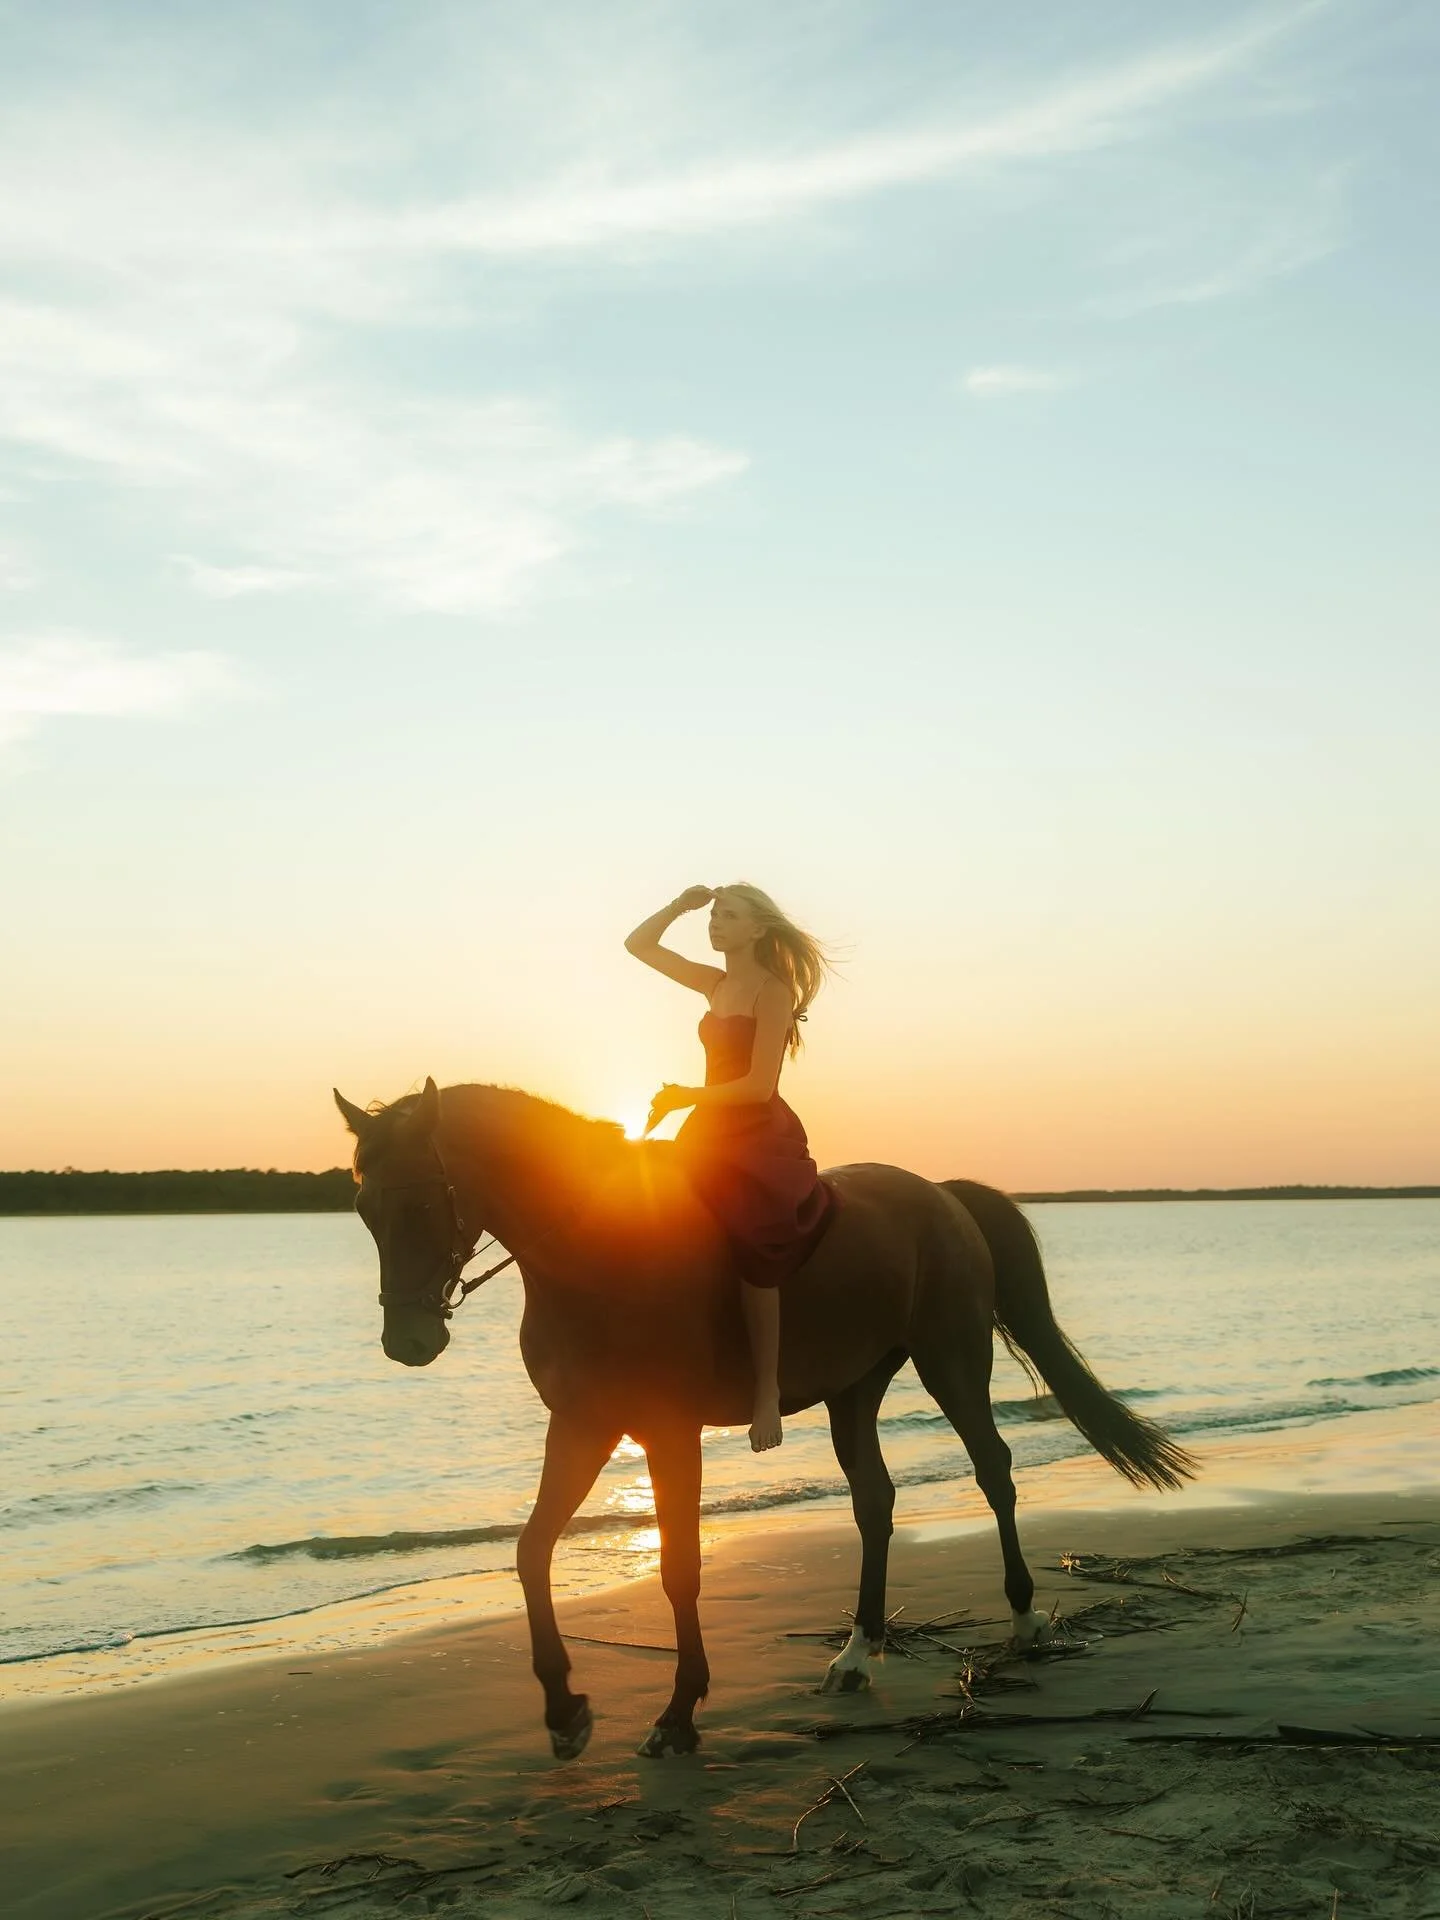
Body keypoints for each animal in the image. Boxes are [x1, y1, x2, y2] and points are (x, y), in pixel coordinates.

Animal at [333, 1077, 1195, 1761]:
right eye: (364, 1207)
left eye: (422, 1200)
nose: (408, 1342)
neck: (595, 1249)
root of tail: (941, 1195)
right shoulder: (582, 1426)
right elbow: (531, 1551)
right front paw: (564, 1711)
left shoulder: (667, 1433)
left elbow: (679, 1568)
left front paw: (679, 1713)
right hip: (855, 1389)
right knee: (875, 1502)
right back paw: (856, 1652)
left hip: (952, 1362)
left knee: (994, 1473)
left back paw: (1022, 1620)